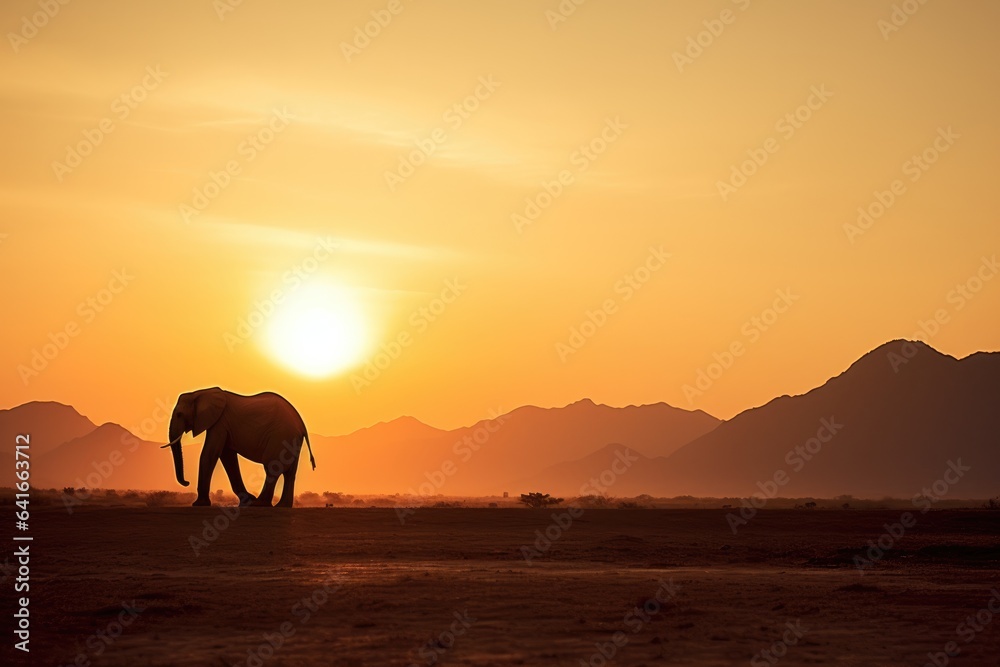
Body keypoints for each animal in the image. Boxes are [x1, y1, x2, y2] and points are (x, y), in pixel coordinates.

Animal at [164, 388, 316, 508]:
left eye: (179, 414)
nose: (186, 482)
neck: (200, 392)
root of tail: (302, 425)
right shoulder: (224, 426)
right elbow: (228, 457)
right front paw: (246, 501)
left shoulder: (220, 422)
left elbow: (210, 453)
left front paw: (199, 504)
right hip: (291, 441)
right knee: (289, 473)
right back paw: (281, 506)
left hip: (280, 437)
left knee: (272, 468)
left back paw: (259, 504)